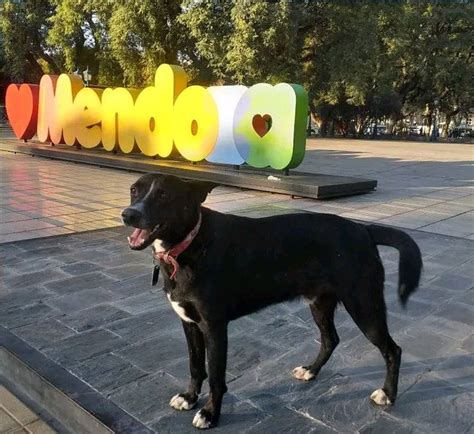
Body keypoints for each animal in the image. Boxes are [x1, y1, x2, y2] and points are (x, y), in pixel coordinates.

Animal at [122, 174, 422, 430]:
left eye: (164, 194)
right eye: (134, 190)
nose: (129, 214)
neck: (189, 245)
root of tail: (364, 229)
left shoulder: (214, 327)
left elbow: (216, 376)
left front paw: (209, 414)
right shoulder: (189, 323)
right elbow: (196, 367)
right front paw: (188, 397)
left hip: (364, 305)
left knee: (392, 350)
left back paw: (388, 394)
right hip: (320, 303)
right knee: (330, 340)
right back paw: (311, 370)